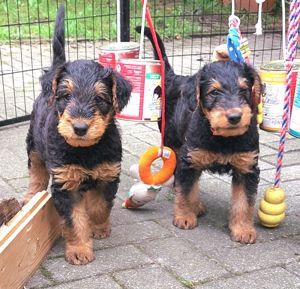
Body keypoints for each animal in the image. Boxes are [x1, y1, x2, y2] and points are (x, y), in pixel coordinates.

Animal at [23, 6, 130, 264]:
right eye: (65, 96)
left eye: (100, 98)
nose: (80, 128)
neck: (87, 150)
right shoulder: (65, 184)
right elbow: (74, 219)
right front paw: (79, 249)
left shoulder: (108, 174)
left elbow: (99, 206)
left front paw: (99, 227)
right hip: (34, 145)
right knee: (36, 173)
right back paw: (31, 195)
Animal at [138, 27, 262, 243]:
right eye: (214, 93)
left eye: (244, 90)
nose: (235, 117)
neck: (223, 139)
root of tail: (173, 77)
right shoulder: (190, 159)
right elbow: (186, 191)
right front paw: (185, 217)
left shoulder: (247, 167)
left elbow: (244, 202)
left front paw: (243, 229)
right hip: (173, 143)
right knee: (179, 178)